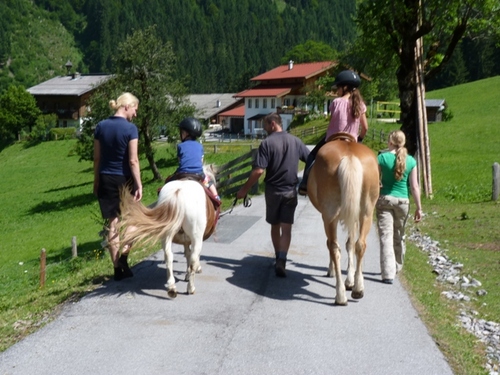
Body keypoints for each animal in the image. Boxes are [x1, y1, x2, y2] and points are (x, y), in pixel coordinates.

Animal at [308, 134, 378, 306]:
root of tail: (350, 156)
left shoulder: (326, 217)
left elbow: (332, 244)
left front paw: (332, 271)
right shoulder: (353, 217)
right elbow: (351, 244)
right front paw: (351, 280)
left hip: (330, 216)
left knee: (334, 247)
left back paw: (340, 295)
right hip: (366, 213)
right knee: (360, 244)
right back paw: (358, 289)